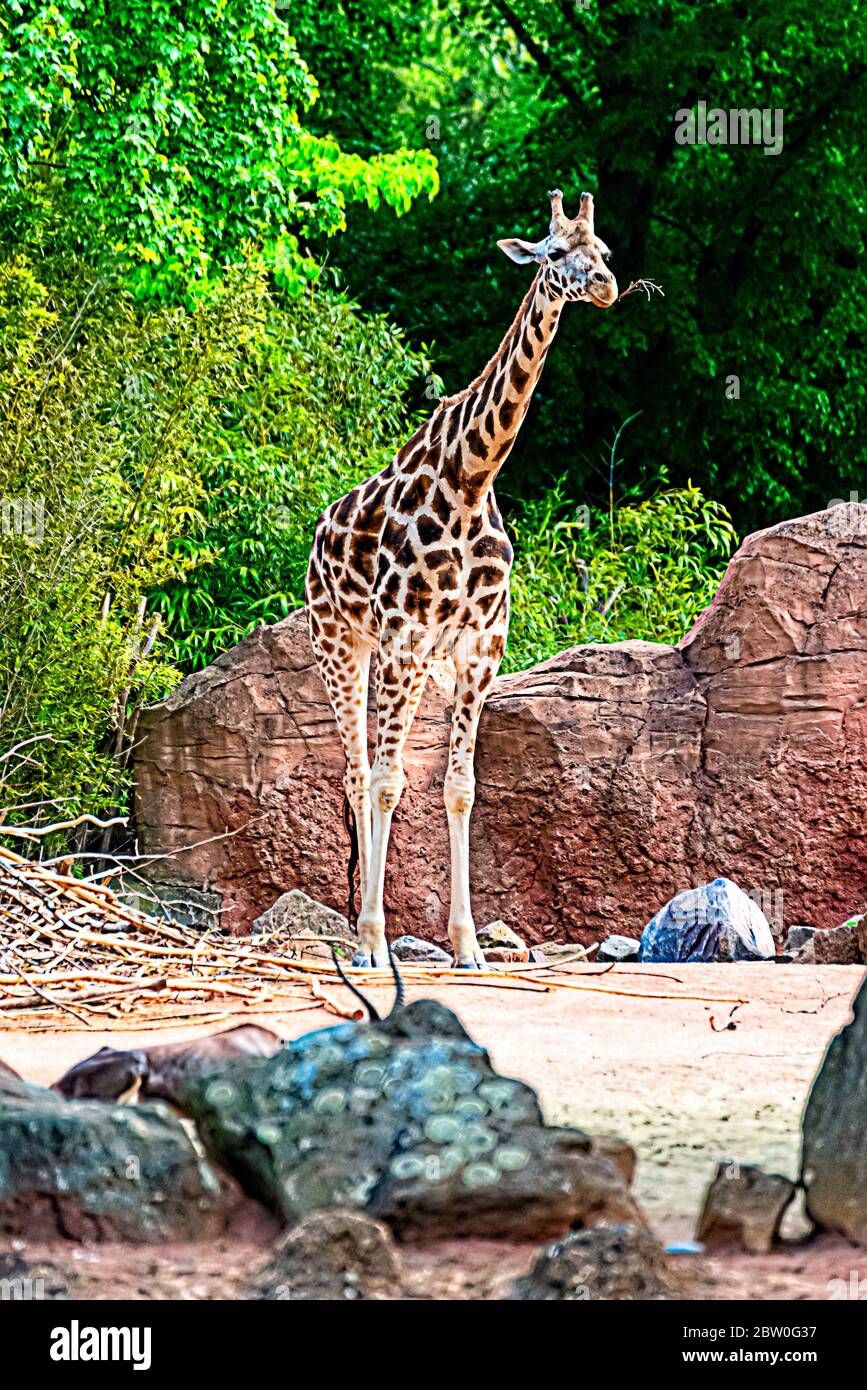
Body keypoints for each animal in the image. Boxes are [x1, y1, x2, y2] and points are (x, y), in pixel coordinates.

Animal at [307, 187, 616, 967]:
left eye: (603, 250)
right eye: (553, 252)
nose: (603, 286)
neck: (472, 479)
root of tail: (318, 534)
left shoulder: (479, 649)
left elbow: (460, 788)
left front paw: (468, 945)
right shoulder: (403, 638)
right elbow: (389, 783)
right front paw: (372, 942)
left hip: (412, 664)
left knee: (379, 772)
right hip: (341, 645)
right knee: (359, 774)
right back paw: (364, 937)